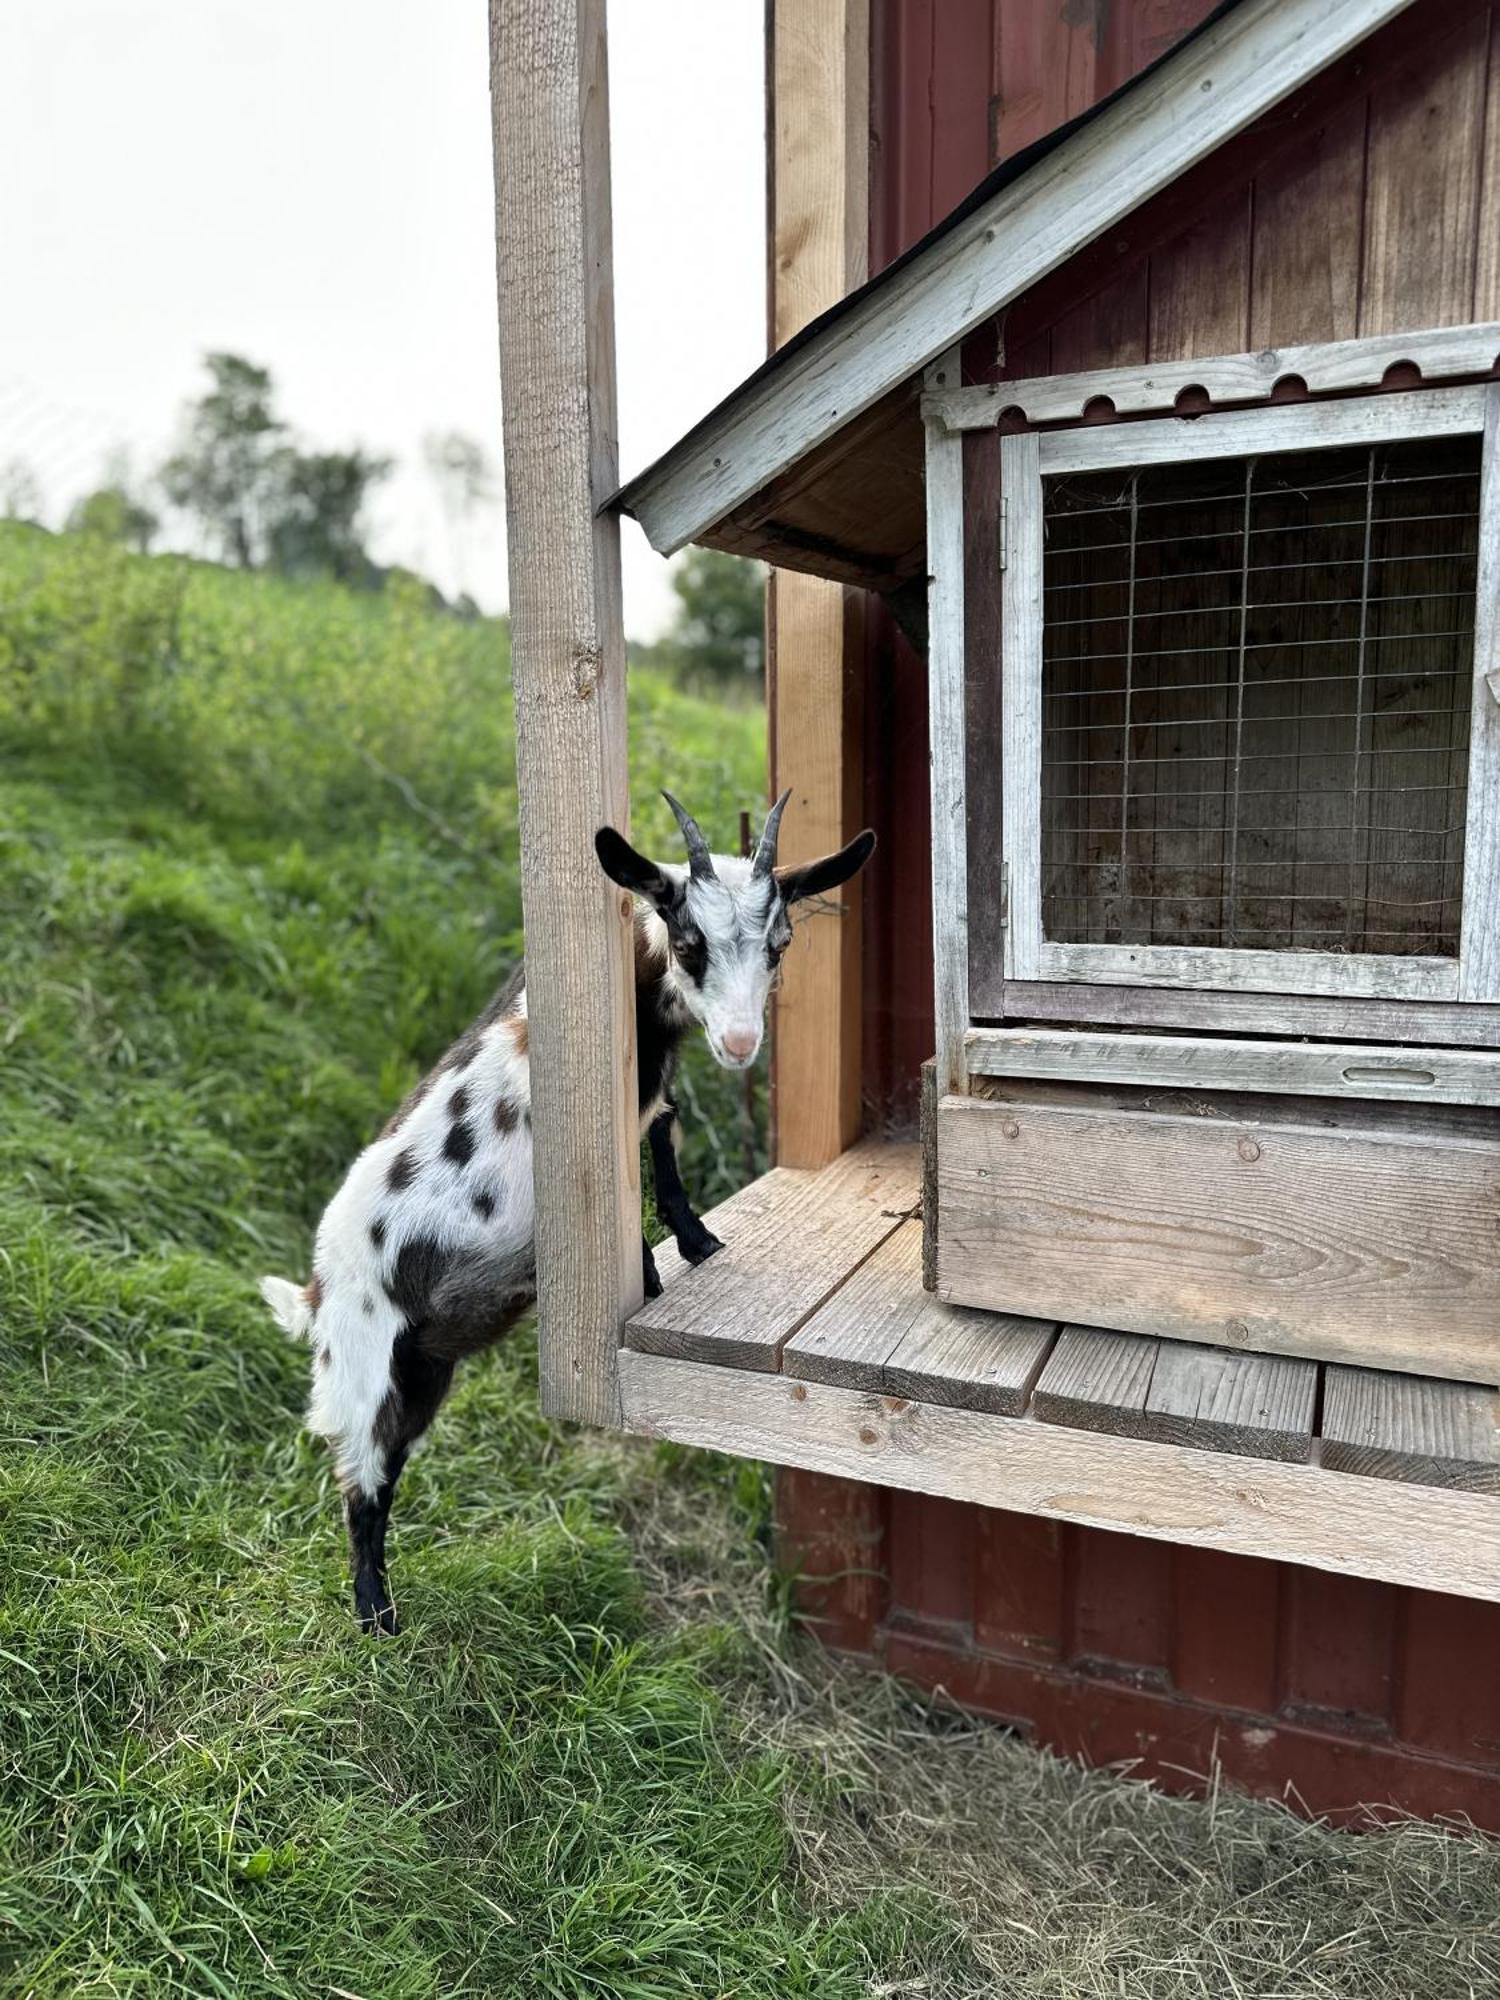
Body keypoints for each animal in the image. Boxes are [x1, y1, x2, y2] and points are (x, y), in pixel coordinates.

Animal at [256, 788, 868, 1632]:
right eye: (689, 941)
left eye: (780, 943)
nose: (743, 1042)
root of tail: (314, 1293)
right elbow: (617, 1183)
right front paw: (648, 1274)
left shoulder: (651, 1095)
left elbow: (663, 1140)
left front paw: (698, 1243)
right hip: (361, 1367)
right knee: (361, 1482)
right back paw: (375, 1617)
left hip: (424, 1367)